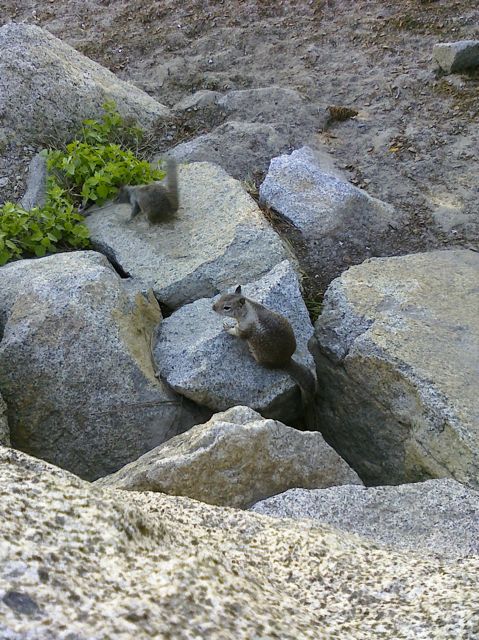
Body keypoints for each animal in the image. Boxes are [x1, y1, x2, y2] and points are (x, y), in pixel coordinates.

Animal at [212, 285, 317, 415]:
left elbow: (237, 333)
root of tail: (285, 361)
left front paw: (228, 327)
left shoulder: (243, 329)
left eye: (226, 307)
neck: (248, 309)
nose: (213, 307)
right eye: (221, 297)